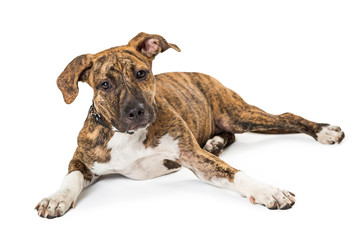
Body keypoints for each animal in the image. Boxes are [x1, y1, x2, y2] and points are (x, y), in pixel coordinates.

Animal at [35, 31, 344, 218]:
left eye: (141, 73)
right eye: (104, 85)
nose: (136, 111)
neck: (129, 135)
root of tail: (201, 73)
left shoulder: (191, 156)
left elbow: (236, 174)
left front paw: (268, 190)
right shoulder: (82, 158)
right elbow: (71, 177)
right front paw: (56, 198)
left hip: (238, 113)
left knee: (286, 117)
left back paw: (325, 130)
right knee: (228, 135)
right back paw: (215, 142)